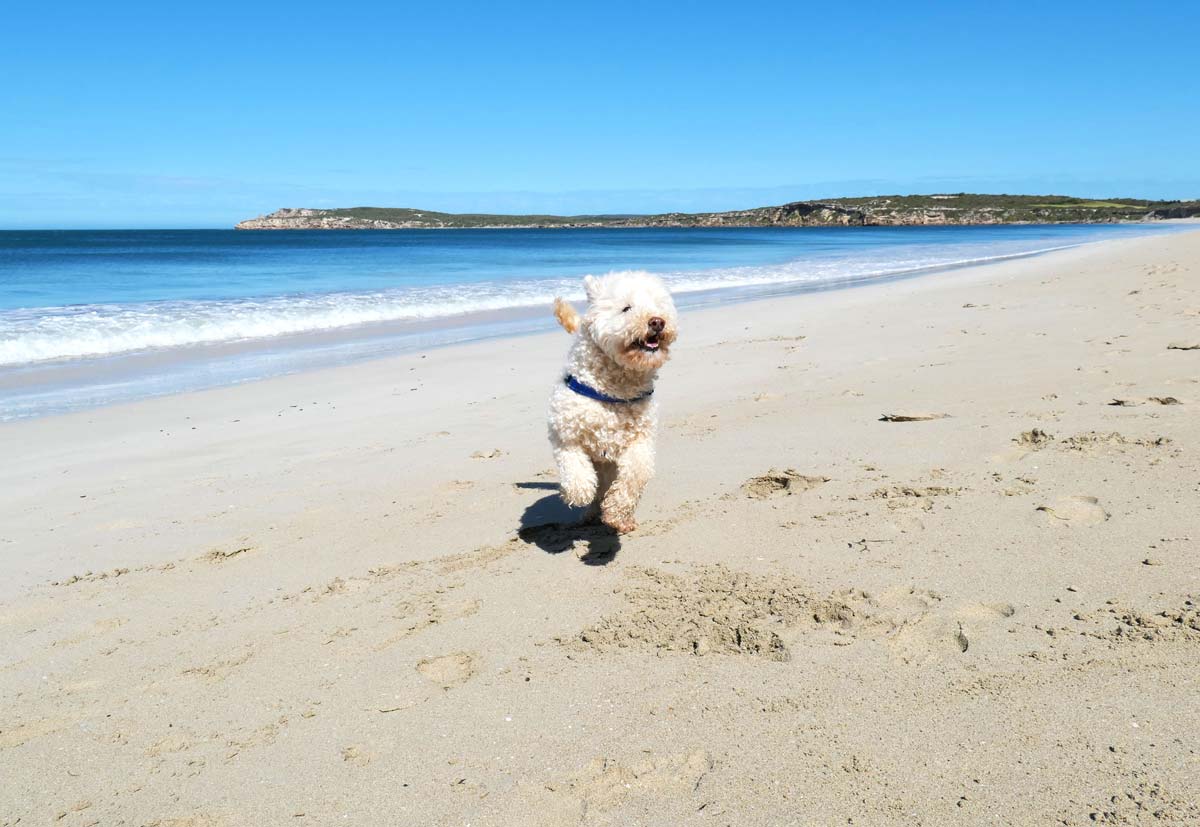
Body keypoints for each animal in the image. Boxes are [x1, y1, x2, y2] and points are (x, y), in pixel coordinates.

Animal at [549, 267, 681, 532]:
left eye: (658, 305)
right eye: (626, 308)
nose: (657, 321)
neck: (614, 391)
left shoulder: (641, 441)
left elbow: (635, 475)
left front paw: (618, 513)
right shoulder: (564, 433)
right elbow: (574, 466)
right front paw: (578, 491)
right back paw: (588, 513)